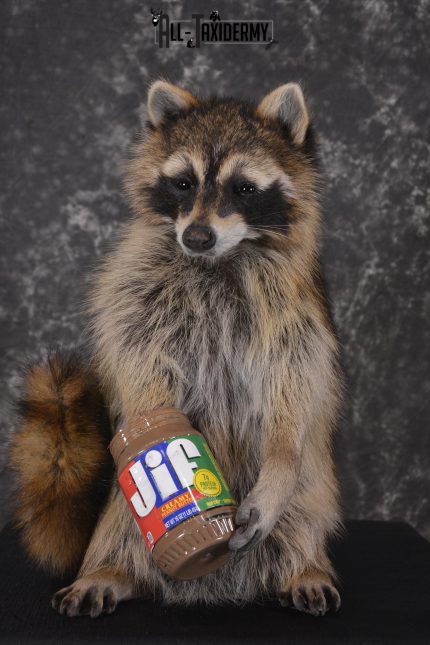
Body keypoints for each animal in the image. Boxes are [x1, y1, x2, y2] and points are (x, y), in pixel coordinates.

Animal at [10, 80, 343, 618]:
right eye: (184, 183)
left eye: (244, 189)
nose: (196, 236)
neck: (221, 257)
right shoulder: (138, 289)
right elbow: (141, 360)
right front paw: (157, 447)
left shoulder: (293, 312)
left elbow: (292, 387)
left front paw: (282, 453)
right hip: (120, 515)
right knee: (119, 532)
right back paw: (107, 571)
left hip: (312, 492)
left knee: (303, 516)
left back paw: (304, 567)